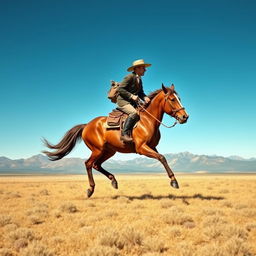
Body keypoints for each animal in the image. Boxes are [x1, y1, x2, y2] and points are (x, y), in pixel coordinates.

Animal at [43, 83, 189, 197]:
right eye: (172, 99)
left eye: (179, 98)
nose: (185, 117)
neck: (147, 120)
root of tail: (86, 125)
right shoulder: (142, 148)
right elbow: (162, 158)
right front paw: (174, 181)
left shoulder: (152, 147)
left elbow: (162, 158)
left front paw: (174, 180)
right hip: (97, 150)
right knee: (88, 164)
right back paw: (91, 189)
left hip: (109, 151)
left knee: (97, 165)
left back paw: (113, 181)